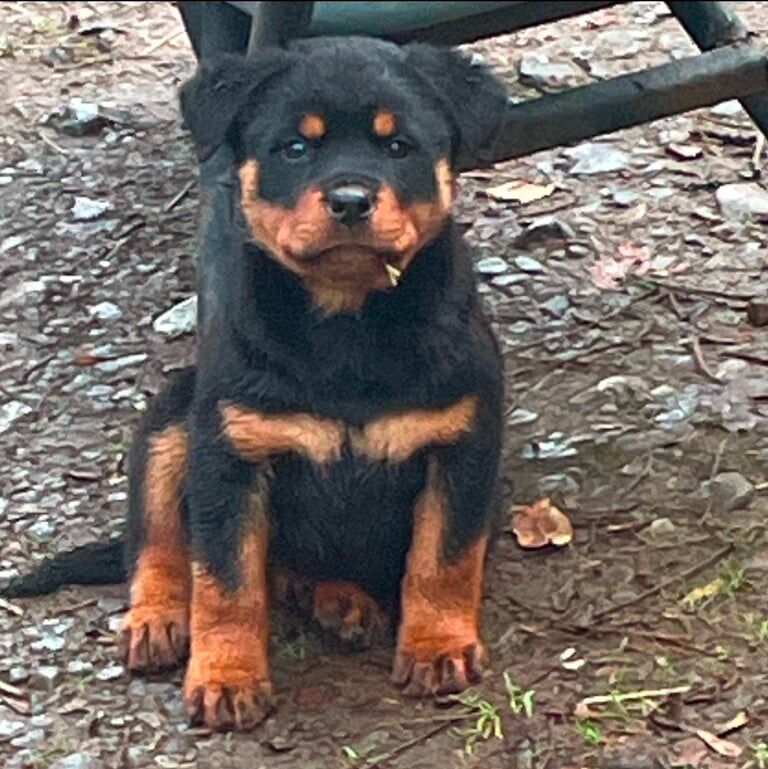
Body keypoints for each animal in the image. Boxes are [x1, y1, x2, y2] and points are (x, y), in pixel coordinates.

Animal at [7, 37, 510, 732]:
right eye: (294, 147)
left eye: (399, 146)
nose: (350, 200)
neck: (347, 325)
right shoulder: (230, 455)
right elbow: (226, 582)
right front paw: (226, 678)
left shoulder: (462, 443)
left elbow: (444, 558)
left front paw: (438, 647)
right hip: (172, 421)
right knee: (158, 543)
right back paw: (157, 620)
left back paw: (341, 600)